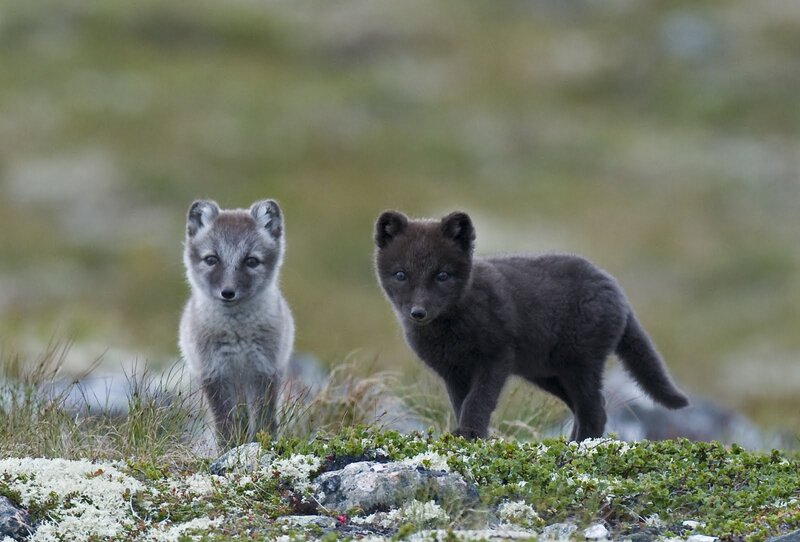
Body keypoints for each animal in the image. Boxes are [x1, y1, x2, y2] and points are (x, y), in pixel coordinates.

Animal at [179, 199, 294, 448]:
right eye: (211, 259)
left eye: (251, 261)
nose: (228, 292)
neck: (237, 335)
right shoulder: (214, 373)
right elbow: (225, 421)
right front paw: (230, 448)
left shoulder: (265, 370)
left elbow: (263, 418)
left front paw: (263, 443)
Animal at [374, 210, 689, 441]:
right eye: (401, 274)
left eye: (442, 275)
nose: (418, 312)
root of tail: (615, 288)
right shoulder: (454, 372)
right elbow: (461, 402)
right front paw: (469, 435)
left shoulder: (495, 358)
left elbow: (478, 401)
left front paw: (470, 434)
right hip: (547, 373)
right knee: (585, 407)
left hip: (579, 364)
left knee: (595, 410)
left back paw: (579, 447)